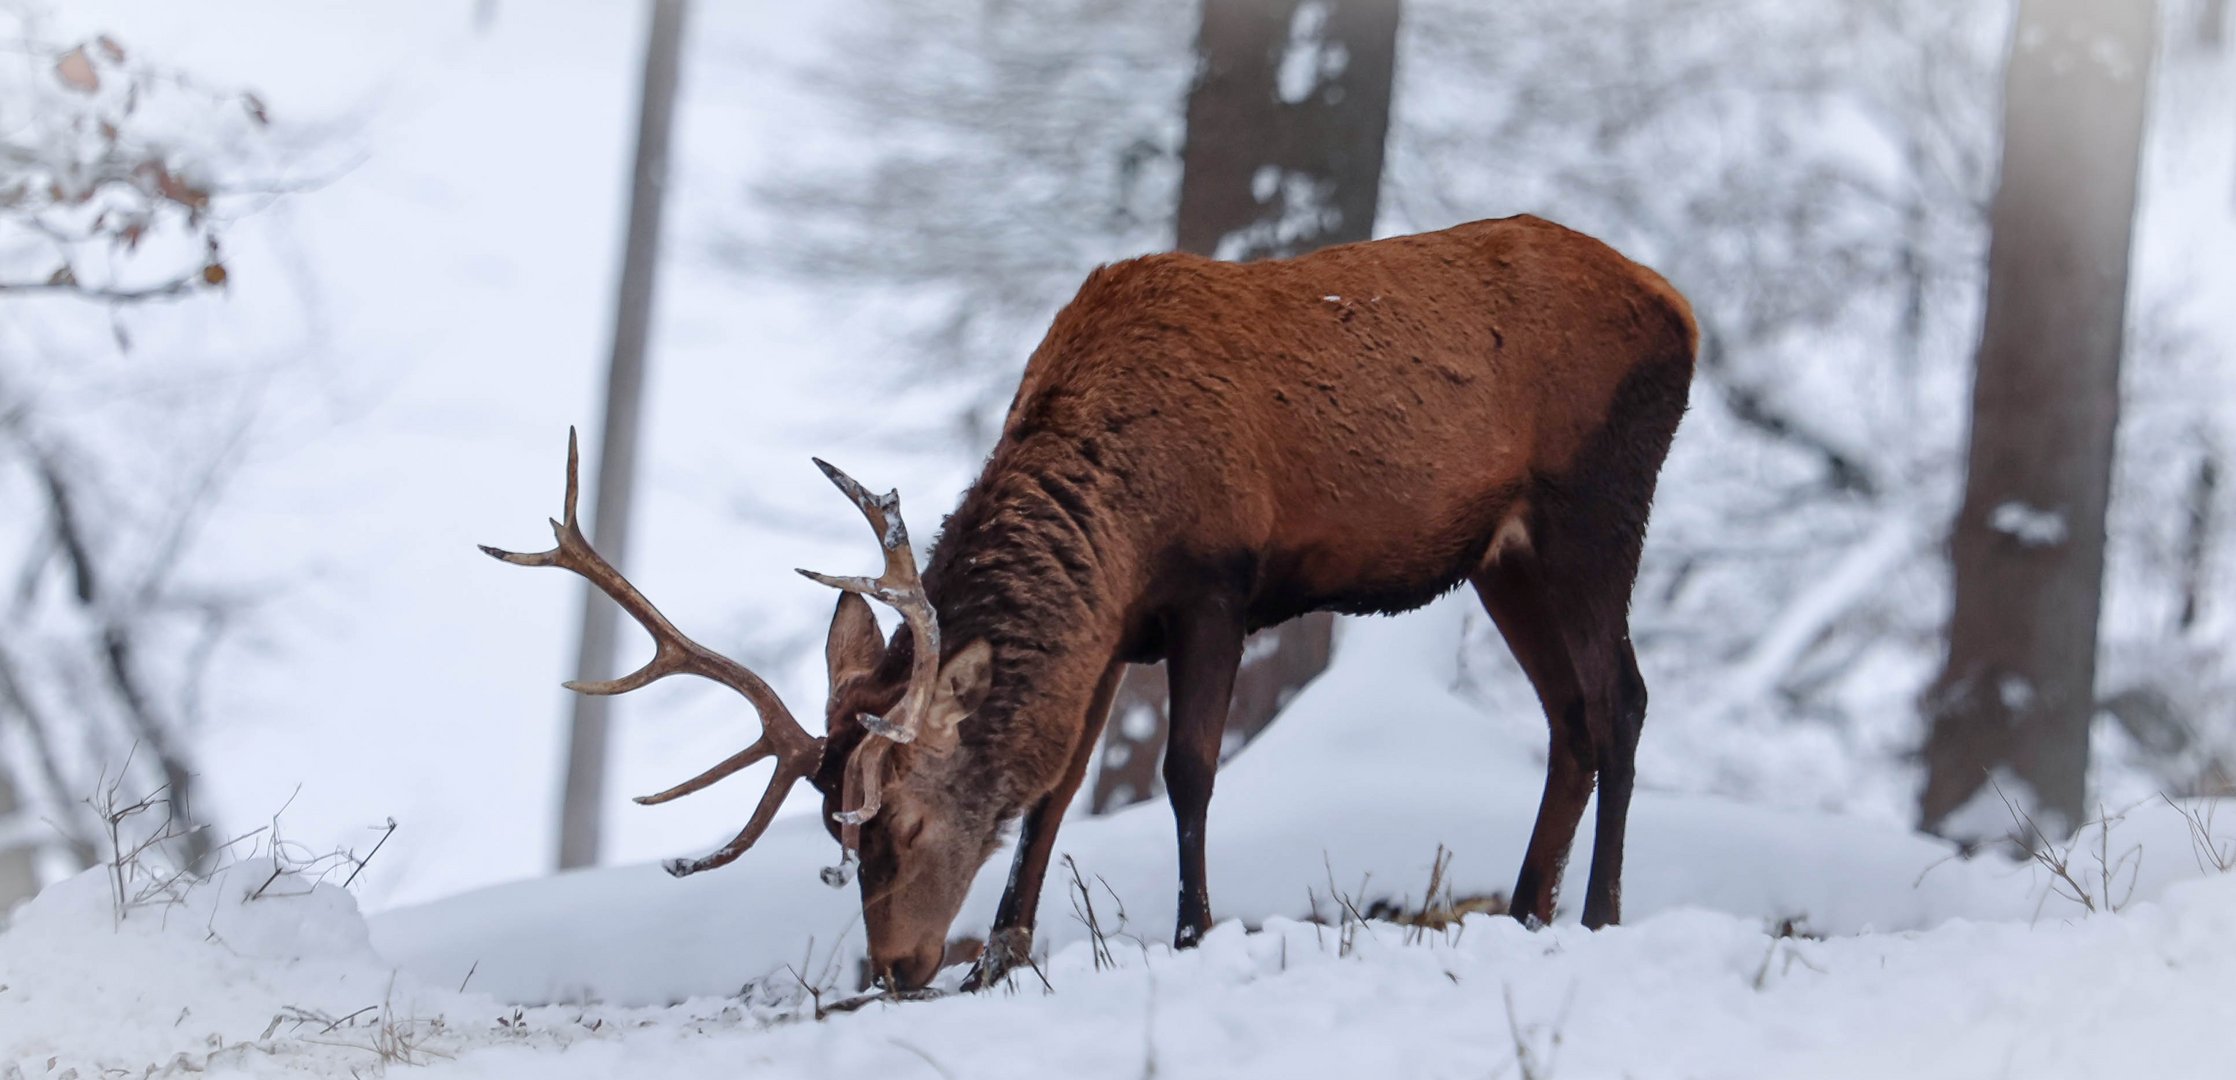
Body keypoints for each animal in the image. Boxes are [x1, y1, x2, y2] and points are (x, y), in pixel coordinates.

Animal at [480, 213, 1681, 997]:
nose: (899, 967)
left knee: (1621, 700)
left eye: (898, 823)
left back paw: (1600, 912)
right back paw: (1525, 911)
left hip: (1594, 503)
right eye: (834, 833)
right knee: (1570, 717)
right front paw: (1004, 958)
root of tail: (1683, 314)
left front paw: (1194, 935)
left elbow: (1187, 771)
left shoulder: (1216, 583)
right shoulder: (1111, 629)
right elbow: (1054, 789)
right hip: (1503, 557)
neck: (1120, 514)